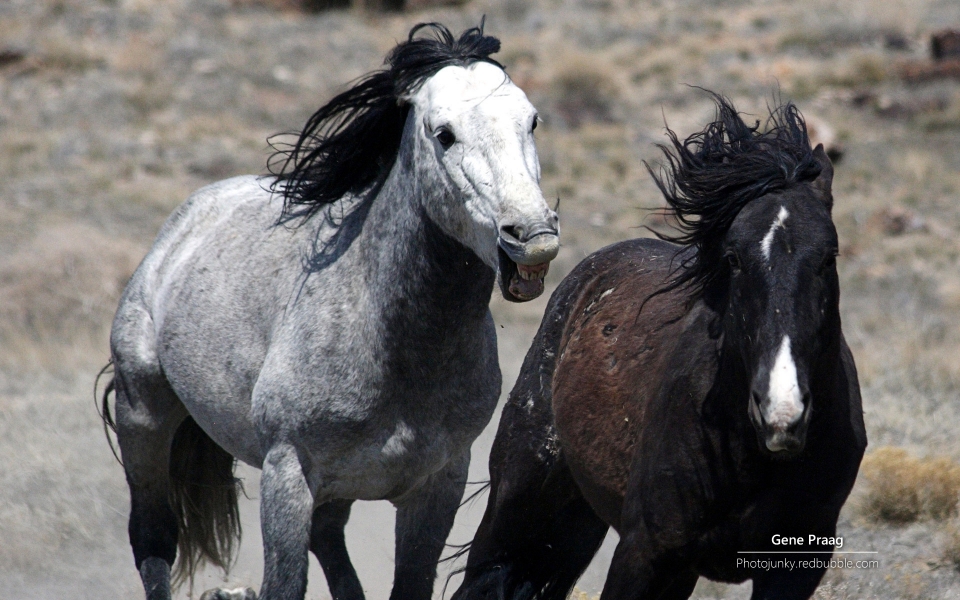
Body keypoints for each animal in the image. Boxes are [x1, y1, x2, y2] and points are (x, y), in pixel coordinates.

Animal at [102, 22, 560, 600]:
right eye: (444, 133)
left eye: (532, 120)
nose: (533, 237)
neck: (391, 348)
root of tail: (181, 225)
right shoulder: (288, 475)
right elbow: (284, 583)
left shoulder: (438, 483)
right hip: (144, 413)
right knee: (154, 538)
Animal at [454, 96, 868, 596]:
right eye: (733, 258)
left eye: (828, 257)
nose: (780, 412)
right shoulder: (646, 554)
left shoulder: (795, 567)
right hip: (520, 504)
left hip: (577, 527)